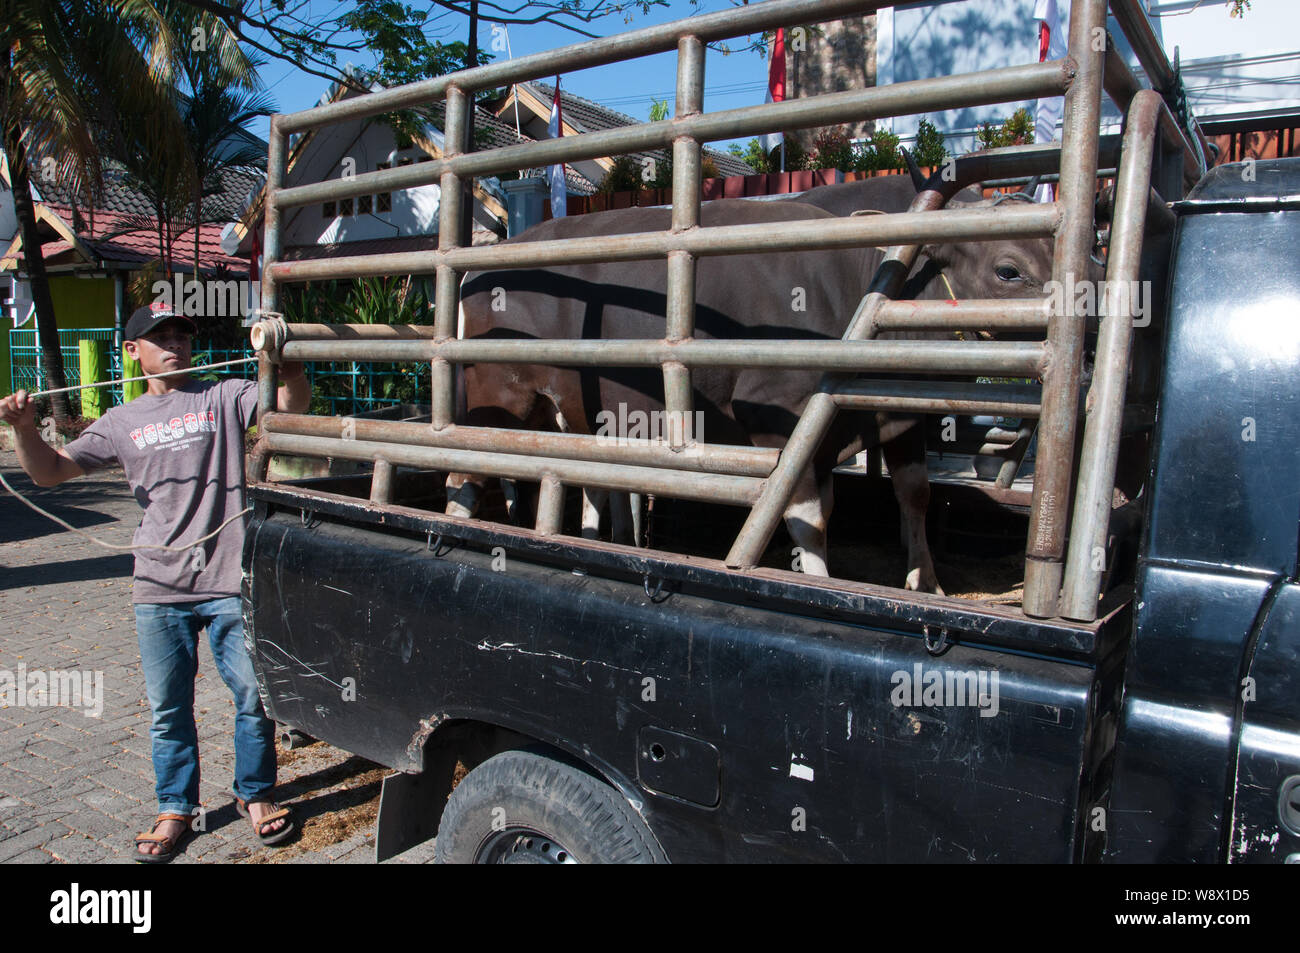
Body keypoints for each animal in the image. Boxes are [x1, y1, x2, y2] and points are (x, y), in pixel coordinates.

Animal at [447, 175, 1055, 587]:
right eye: (1009, 270)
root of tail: (483, 263)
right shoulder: (775, 416)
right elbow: (806, 517)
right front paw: (818, 586)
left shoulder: (890, 417)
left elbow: (913, 495)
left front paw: (925, 583)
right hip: (498, 397)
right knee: (467, 478)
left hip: (570, 413)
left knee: (581, 480)